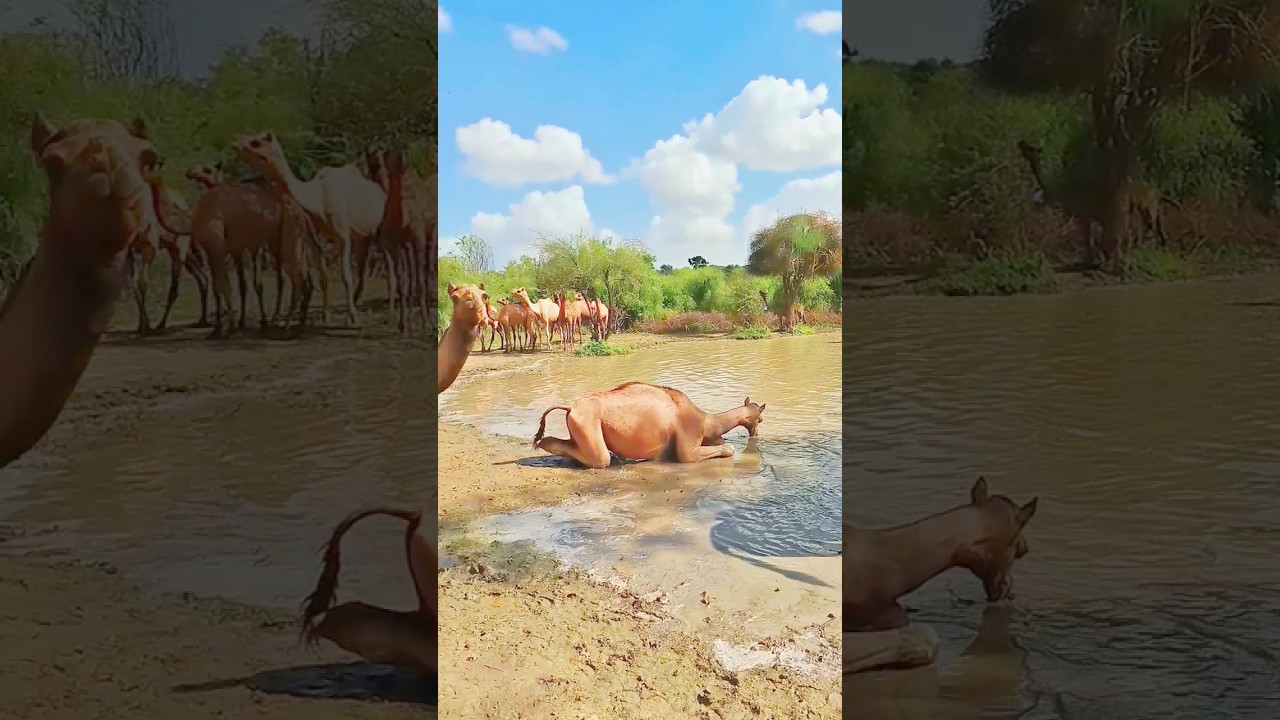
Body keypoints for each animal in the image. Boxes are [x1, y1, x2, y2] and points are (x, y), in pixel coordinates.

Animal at [233, 131, 384, 328]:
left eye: (256, 142)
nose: (235, 145)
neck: (318, 197)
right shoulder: (314, 234)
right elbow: (323, 273)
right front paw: (326, 316)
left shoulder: (343, 235)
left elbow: (345, 276)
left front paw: (352, 319)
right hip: (362, 237)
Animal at [531, 382, 766, 469]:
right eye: (761, 418)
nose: (755, 433)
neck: (707, 421)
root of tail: (570, 408)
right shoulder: (688, 447)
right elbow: (728, 448)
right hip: (588, 425)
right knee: (600, 458)